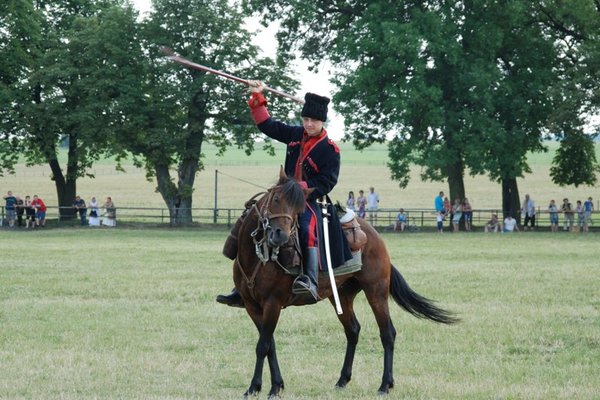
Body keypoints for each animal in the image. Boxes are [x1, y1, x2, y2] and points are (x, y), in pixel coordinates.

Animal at [231, 170, 460, 398]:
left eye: (298, 209)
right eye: (276, 199)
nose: (280, 236)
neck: (256, 259)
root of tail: (374, 236)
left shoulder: (273, 303)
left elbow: (263, 345)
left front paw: (266, 387)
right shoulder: (253, 306)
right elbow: (269, 344)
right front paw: (265, 386)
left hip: (376, 292)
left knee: (387, 333)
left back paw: (385, 384)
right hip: (341, 295)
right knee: (353, 330)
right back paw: (342, 380)